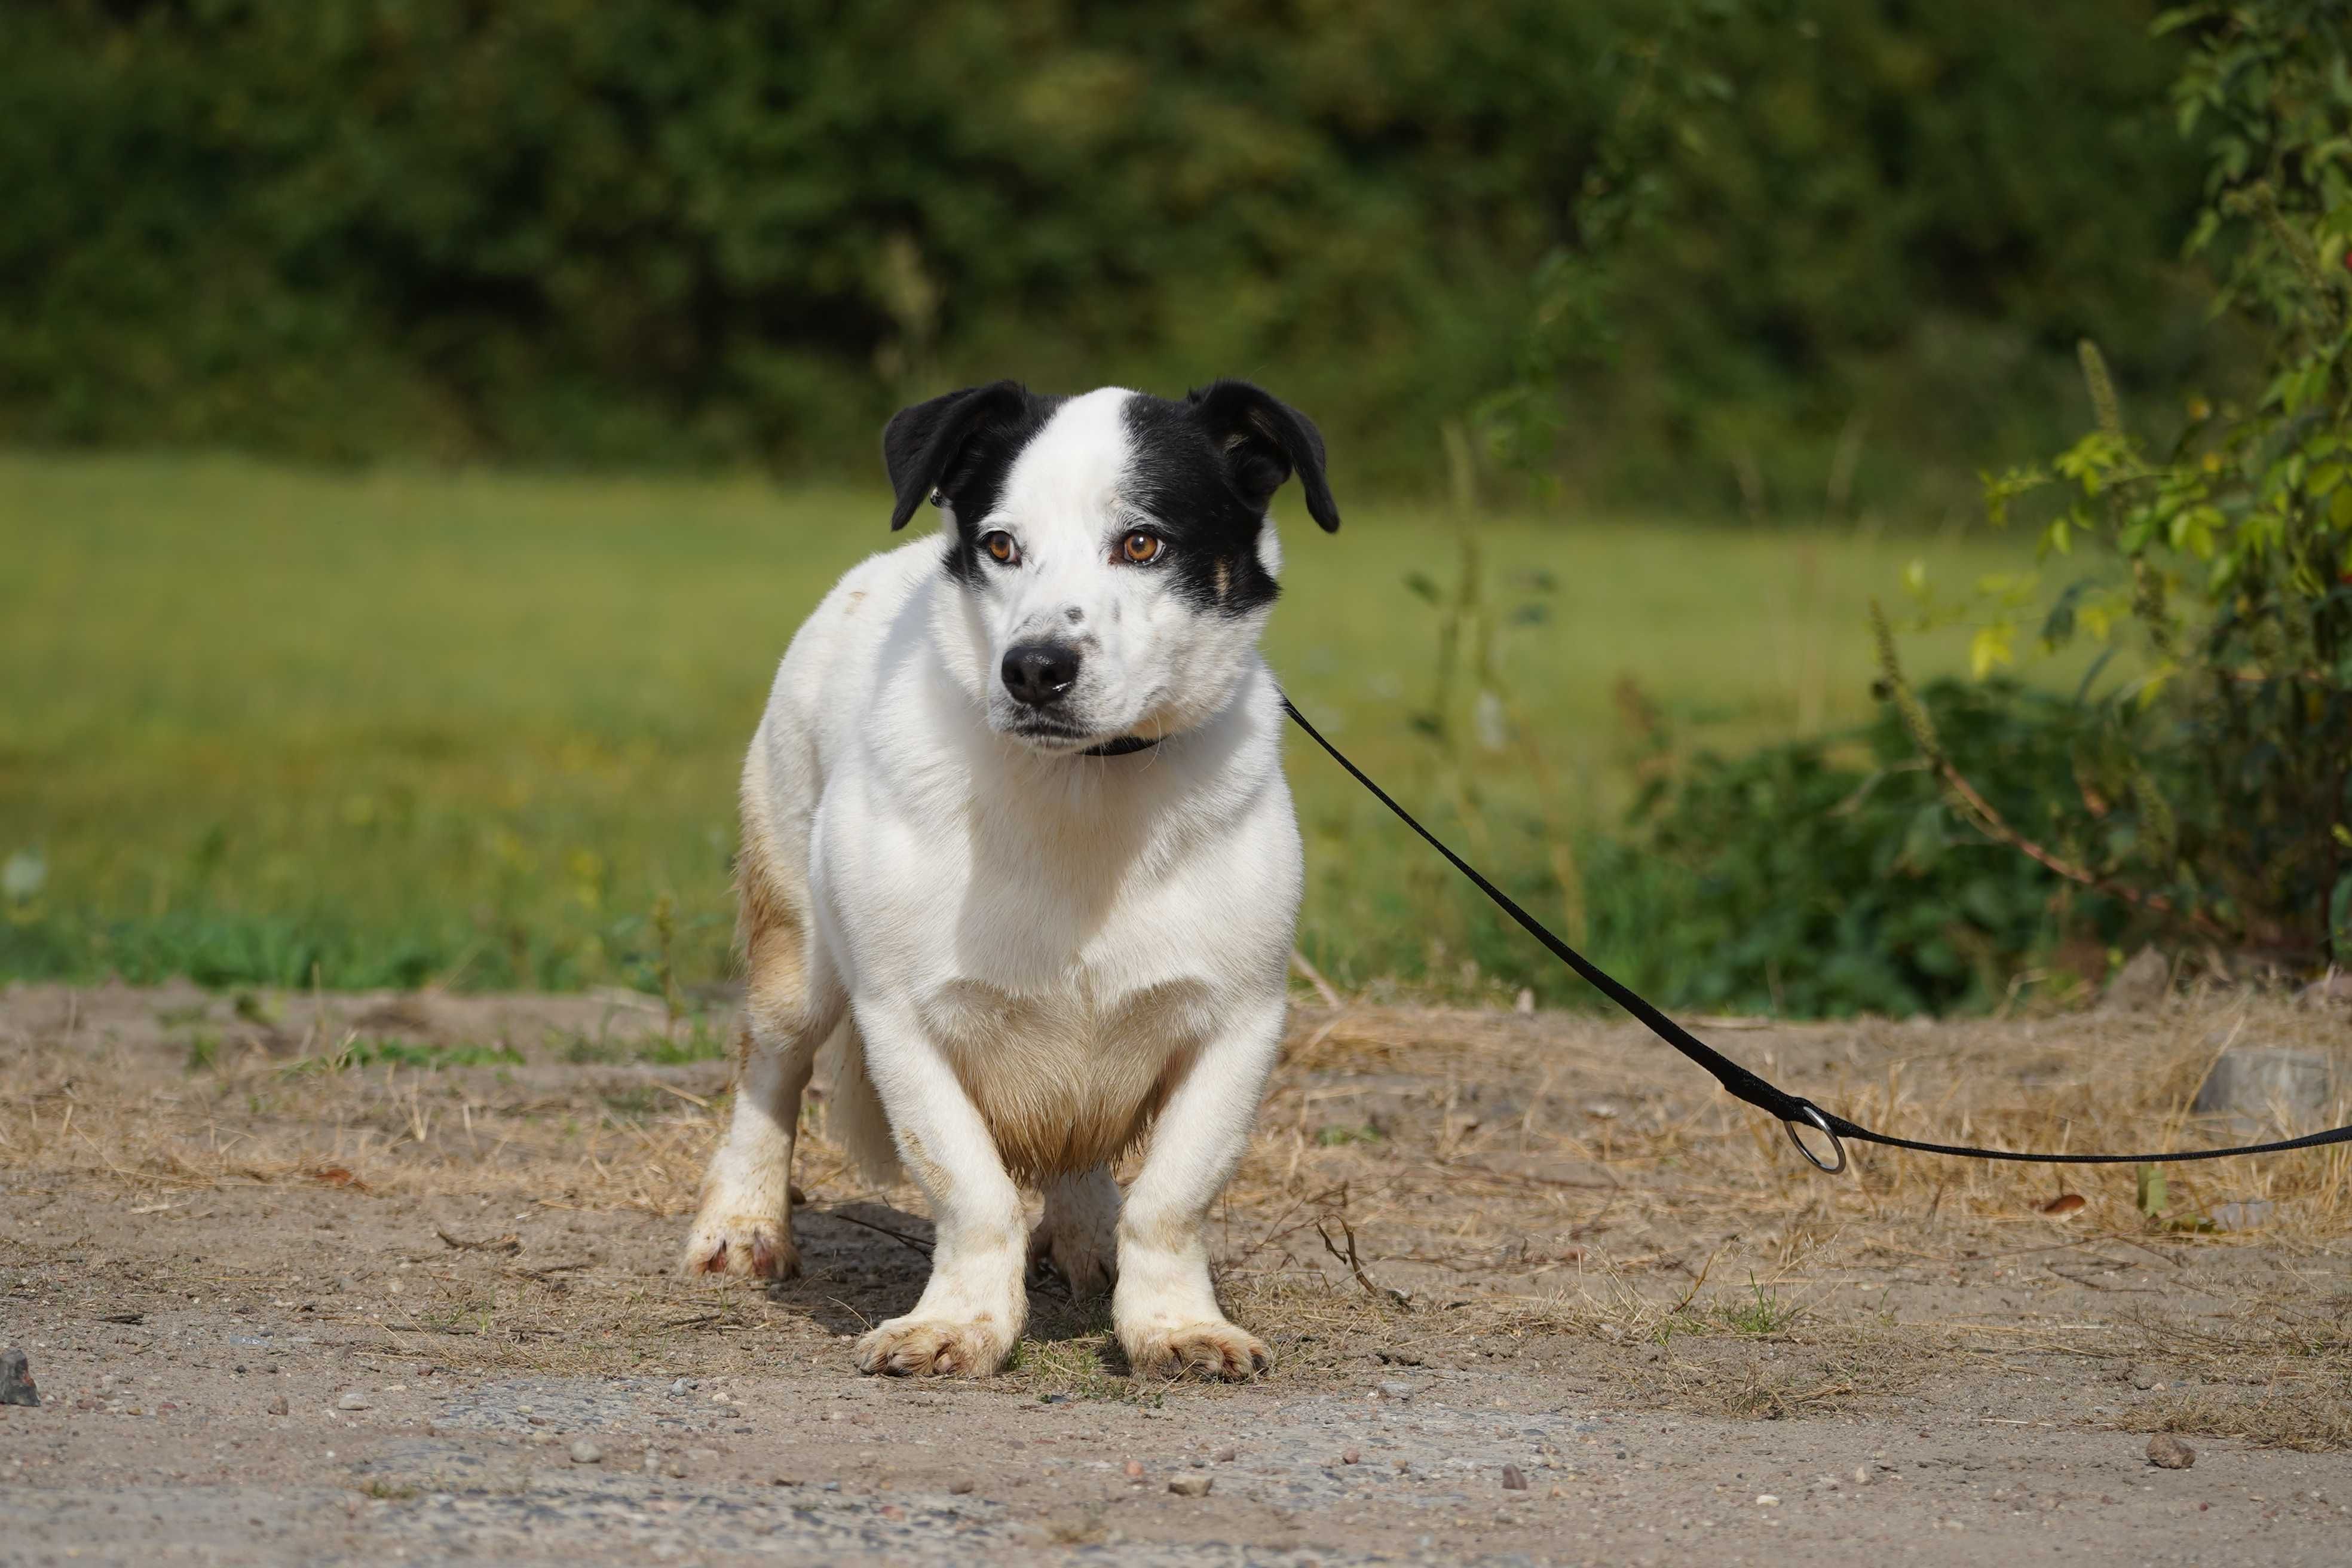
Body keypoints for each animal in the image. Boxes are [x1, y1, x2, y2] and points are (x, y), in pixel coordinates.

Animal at [687, 373, 1345, 1382]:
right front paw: (958, 1323)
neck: (1083, 790)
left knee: (1080, 1148)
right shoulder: (904, 1021)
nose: (1035, 668)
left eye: (1142, 542)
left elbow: (1172, 1197)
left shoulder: (1239, 1024)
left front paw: (1172, 1323)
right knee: (771, 1069)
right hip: (794, 943)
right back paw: (744, 1223)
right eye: (1001, 545)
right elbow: (973, 1193)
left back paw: (1088, 1238)